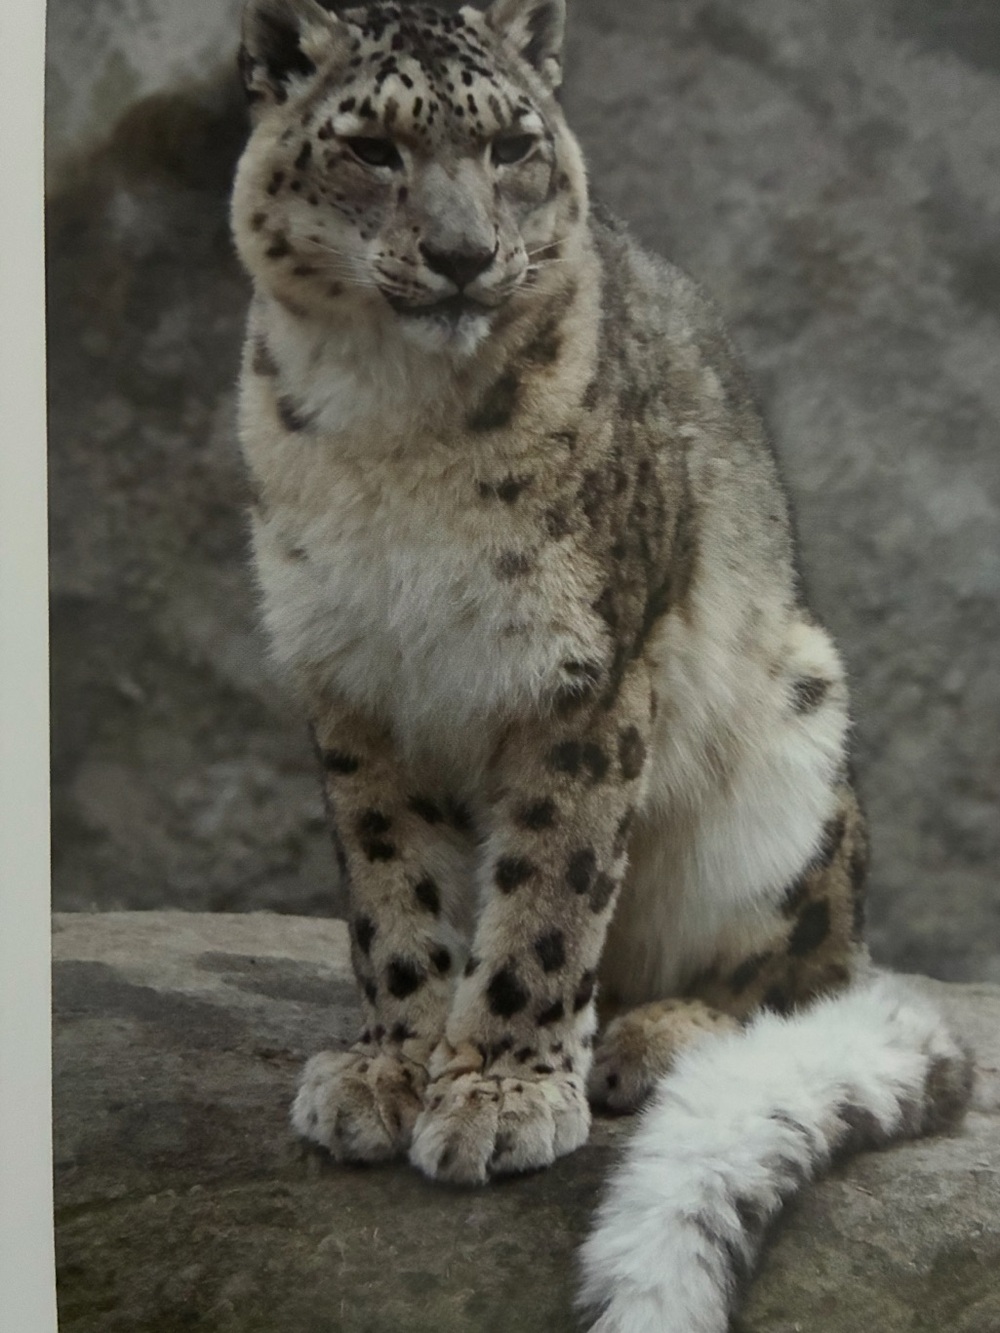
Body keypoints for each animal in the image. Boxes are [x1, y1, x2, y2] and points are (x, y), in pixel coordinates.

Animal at [230, 2, 973, 1329]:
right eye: (370, 150)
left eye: (512, 145)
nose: (463, 255)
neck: (390, 423)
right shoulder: (351, 677)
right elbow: (391, 891)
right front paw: (390, 1067)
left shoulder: (577, 672)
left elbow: (550, 888)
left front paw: (500, 1093)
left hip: (798, 739)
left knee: (804, 970)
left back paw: (654, 1038)